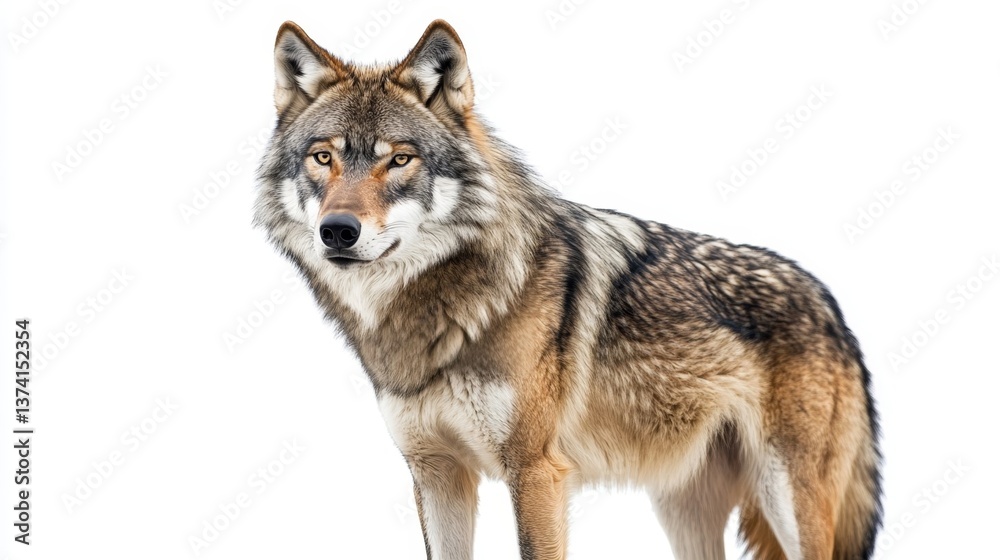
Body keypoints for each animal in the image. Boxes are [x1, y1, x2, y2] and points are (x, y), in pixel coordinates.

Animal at [253, 19, 882, 560]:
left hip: (788, 500)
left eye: (400, 160)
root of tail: (830, 302)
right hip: (683, 509)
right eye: (323, 157)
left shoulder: (537, 472)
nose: (338, 230)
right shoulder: (435, 474)